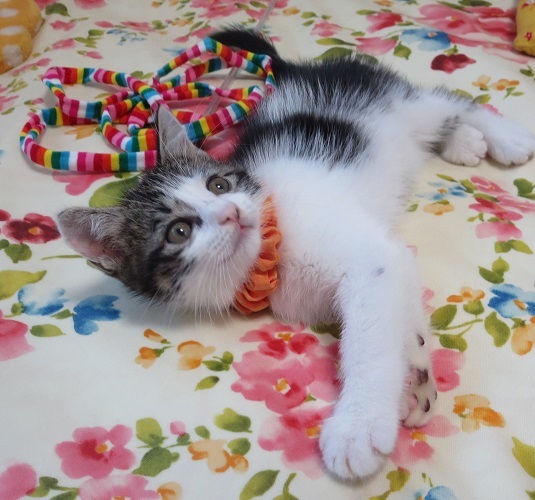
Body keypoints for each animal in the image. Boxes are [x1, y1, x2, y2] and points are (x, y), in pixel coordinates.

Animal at [57, 27, 535, 480]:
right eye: (179, 231)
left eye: (218, 184)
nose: (231, 212)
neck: (271, 254)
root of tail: (293, 70)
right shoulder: (381, 262)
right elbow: (398, 307)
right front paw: (415, 375)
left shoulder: (368, 257)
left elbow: (371, 336)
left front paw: (359, 427)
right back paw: (465, 142)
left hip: (394, 100)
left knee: (450, 101)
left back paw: (505, 138)